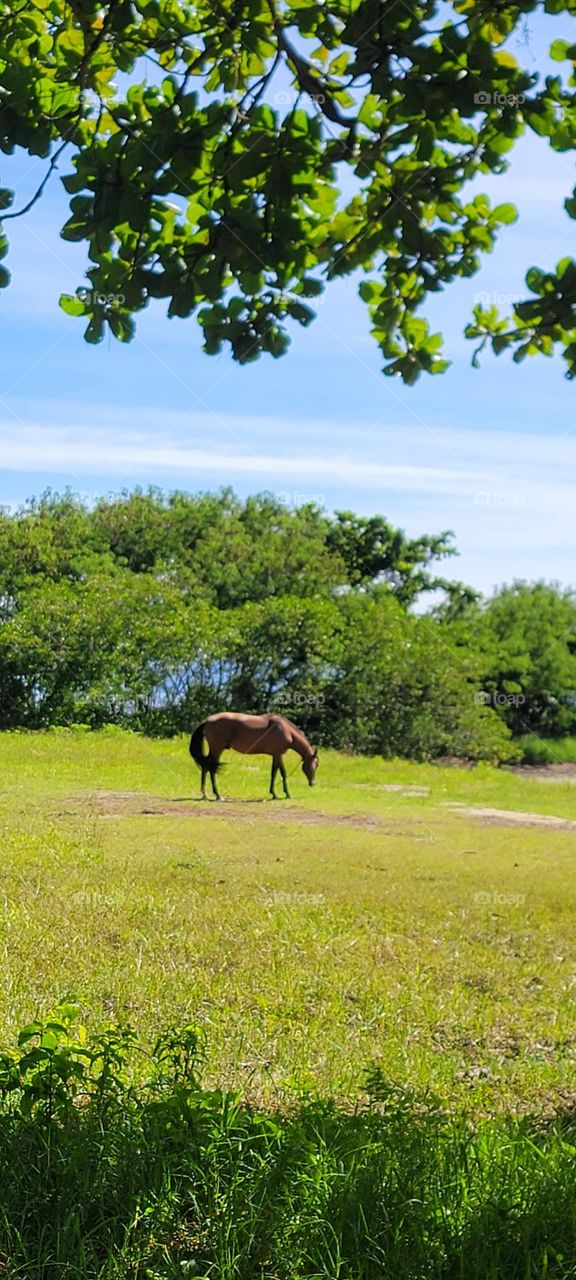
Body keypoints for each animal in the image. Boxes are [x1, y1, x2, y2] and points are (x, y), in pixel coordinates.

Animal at [189, 711, 319, 800]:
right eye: (315, 765)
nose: (313, 783)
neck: (285, 729)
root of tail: (207, 720)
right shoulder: (277, 754)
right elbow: (278, 773)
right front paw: (280, 794)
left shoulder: (277, 755)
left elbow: (278, 773)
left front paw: (280, 793)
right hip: (217, 749)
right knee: (211, 768)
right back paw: (218, 795)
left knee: (205, 767)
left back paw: (205, 794)